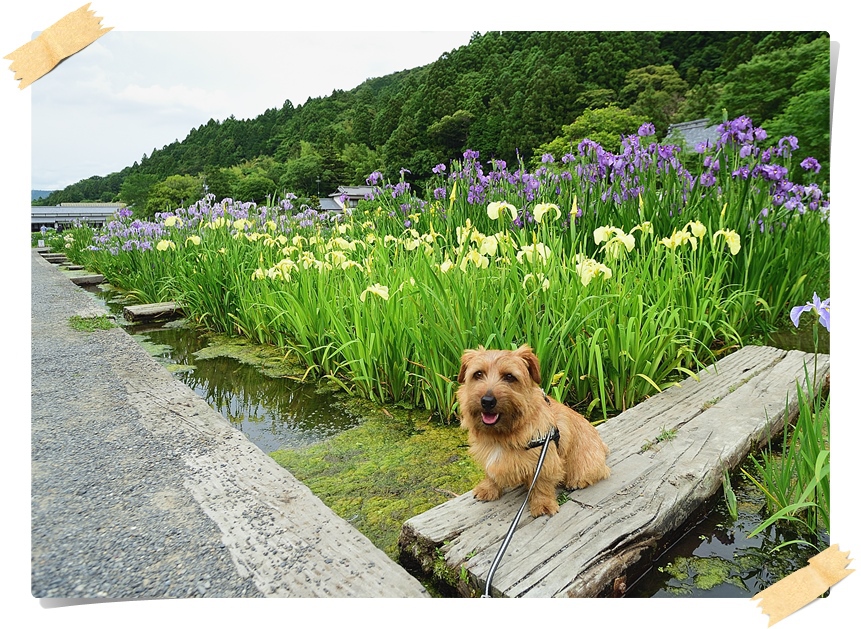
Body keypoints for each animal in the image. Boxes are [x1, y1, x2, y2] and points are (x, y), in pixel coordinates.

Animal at [456, 344, 612, 516]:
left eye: (509, 376)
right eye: (478, 374)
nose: (487, 401)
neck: (503, 433)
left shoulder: (544, 460)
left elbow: (541, 484)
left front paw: (542, 504)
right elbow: (490, 474)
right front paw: (488, 488)